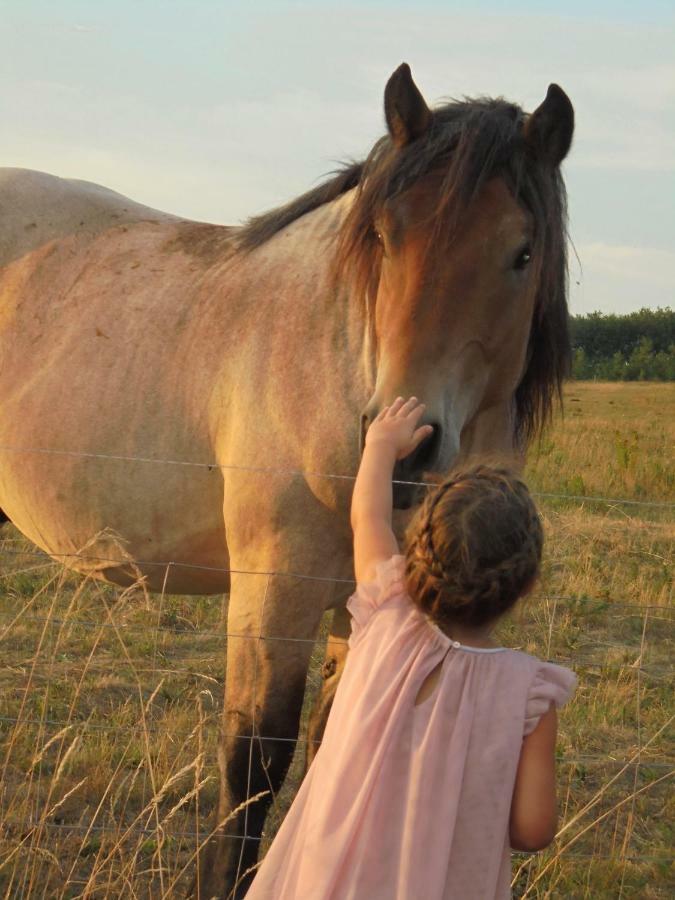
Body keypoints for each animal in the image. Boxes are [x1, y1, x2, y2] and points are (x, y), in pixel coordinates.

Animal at [0, 63, 572, 892]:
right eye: (383, 236)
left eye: (521, 254)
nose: (404, 445)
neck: (331, 354)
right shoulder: (276, 589)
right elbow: (252, 770)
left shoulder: (366, 604)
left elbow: (338, 745)